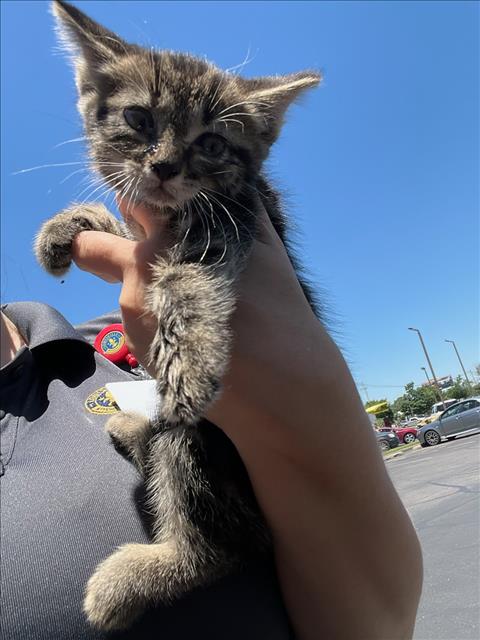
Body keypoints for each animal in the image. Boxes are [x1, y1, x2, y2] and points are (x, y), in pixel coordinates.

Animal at [34, 0, 322, 632]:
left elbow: (187, 278)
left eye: (212, 144)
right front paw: (72, 224)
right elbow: (126, 235)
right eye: (138, 118)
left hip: (204, 444)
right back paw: (133, 429)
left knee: (225, 546)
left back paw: (129, 580)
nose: (164, 167)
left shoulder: (236, 218)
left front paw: (188, 355)